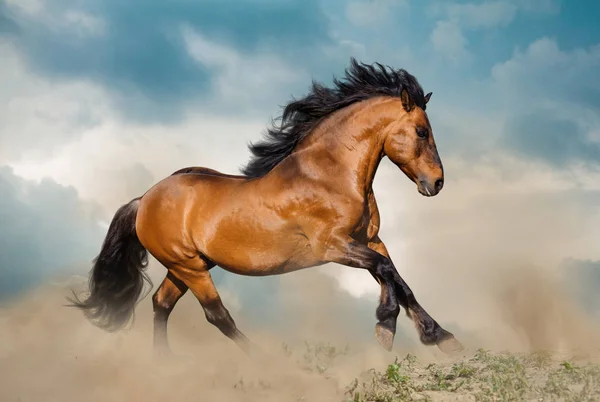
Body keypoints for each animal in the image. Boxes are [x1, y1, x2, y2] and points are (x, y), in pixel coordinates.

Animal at [70, 58, 464, 356]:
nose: (437, 183)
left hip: (188, 266)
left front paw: (439, 337)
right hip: (188, 266)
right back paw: (265, 362)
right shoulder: (332, 246)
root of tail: (144, 200)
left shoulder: (370, 240)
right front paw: (386, 325)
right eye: (422, 132)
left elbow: (398, 279)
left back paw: (164, 362)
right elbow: (386, 273)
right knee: (217, 315)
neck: (329, 175)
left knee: (162, 303)